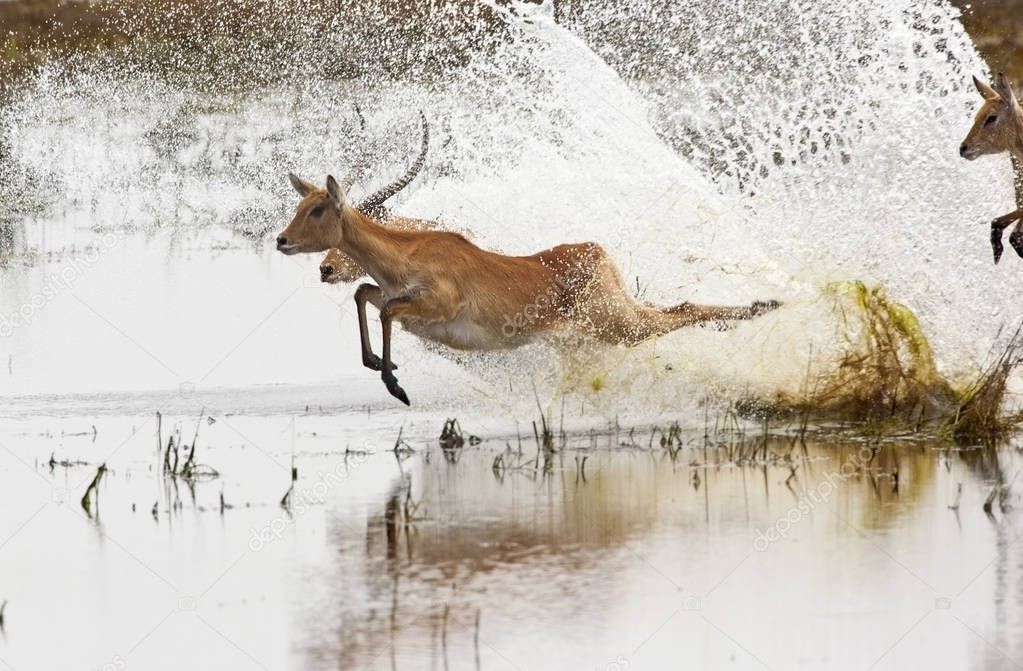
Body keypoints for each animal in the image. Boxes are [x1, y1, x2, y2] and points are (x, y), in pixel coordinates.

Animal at [276, 118, 777, 407]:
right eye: (301, 204)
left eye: (318, 209)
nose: (283, 241)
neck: (409, 252)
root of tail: (596, 251)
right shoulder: (402, 303)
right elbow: (367, 295)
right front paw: (384, 365)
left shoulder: (433, 307)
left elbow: (382, 308)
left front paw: (395, 384)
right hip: (597, 332)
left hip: (619, 323)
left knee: (683, 310)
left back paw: (769, 307)